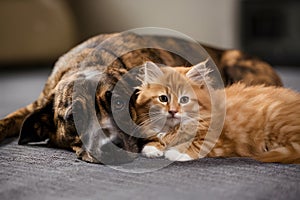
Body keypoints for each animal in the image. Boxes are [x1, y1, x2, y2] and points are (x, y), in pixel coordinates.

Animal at [135, 61, 300, 164]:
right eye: (163, 98)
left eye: (184, 99)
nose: (173, 111)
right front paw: (153, 147)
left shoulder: (220, 140)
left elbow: (197, 144)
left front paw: (176, 152)